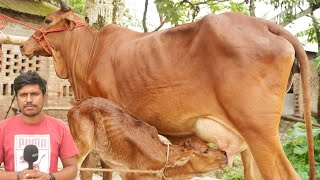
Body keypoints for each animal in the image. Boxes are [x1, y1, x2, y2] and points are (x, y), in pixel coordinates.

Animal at [67, 97, 228, 179]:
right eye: (205, 150)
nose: (225, 154)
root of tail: (78, 103)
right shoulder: (132, 176)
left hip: (94, 152)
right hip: (80, 145)